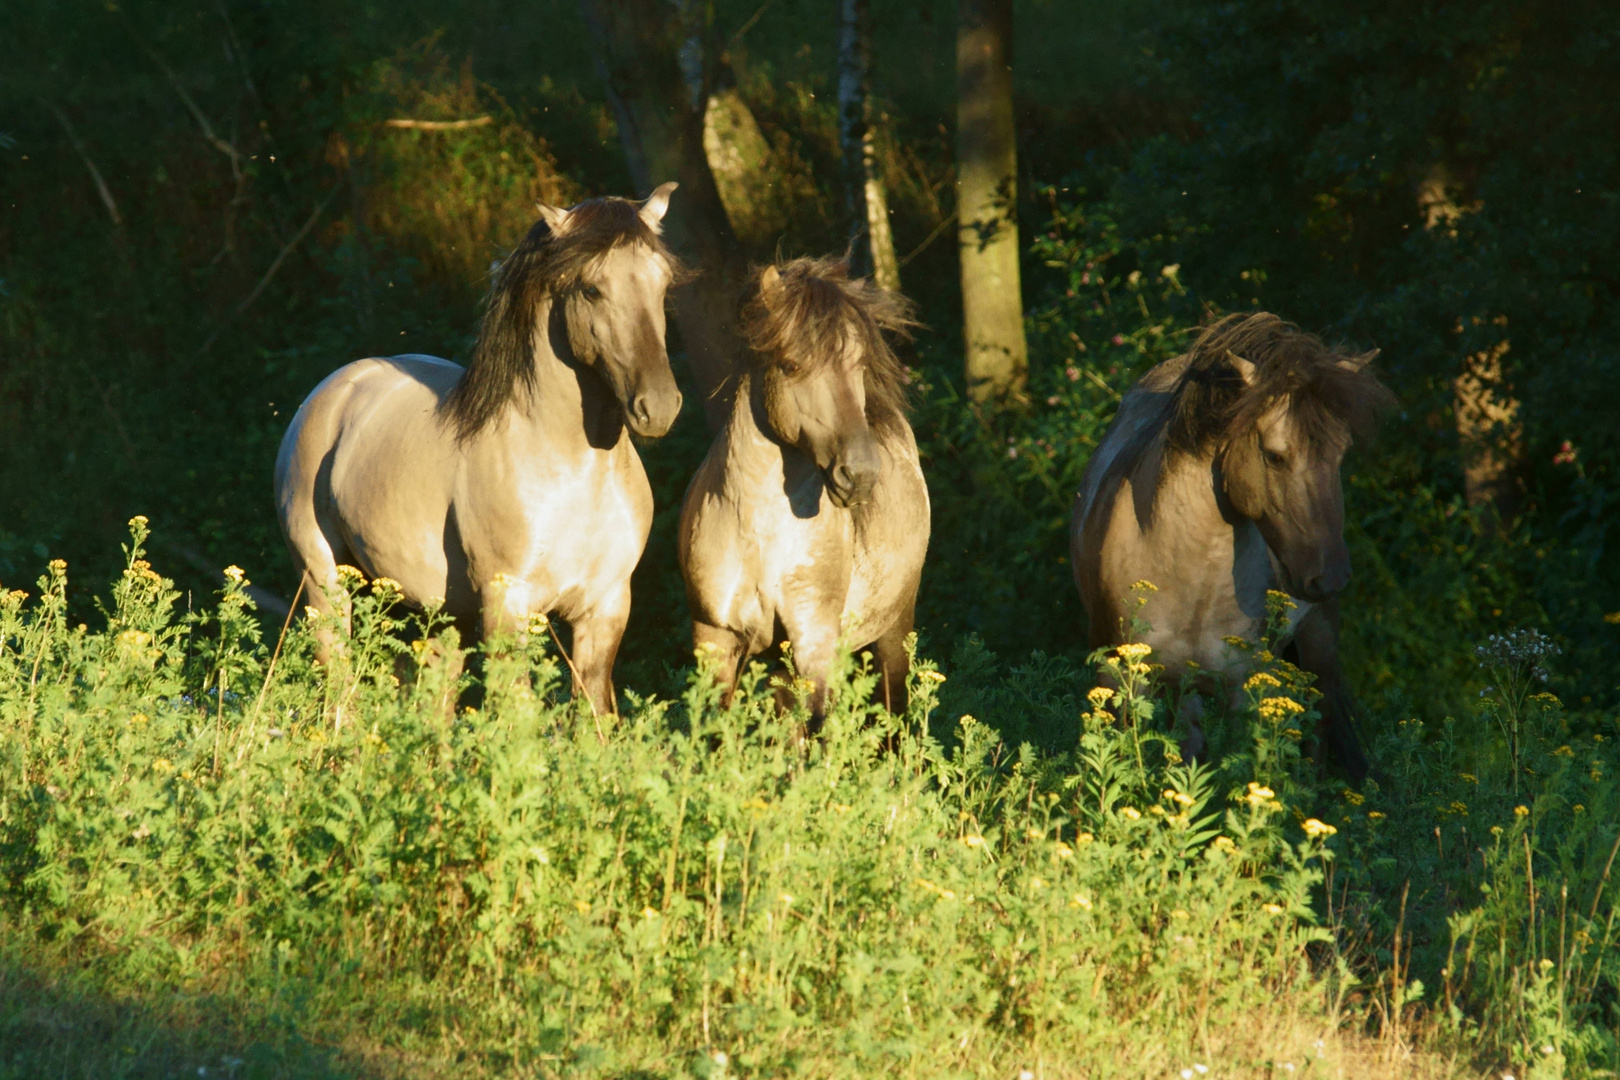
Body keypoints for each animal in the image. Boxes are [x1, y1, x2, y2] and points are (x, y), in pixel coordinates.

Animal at [677, 259, 933, 722]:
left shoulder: (813, 642)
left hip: (894, 629)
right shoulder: (714, 636)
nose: (860, 474)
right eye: (792, 366)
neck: (759, 535)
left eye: (859, 365)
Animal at [1069, 312, 1399, 777]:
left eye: (1341, 453)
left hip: (1318, 648)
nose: (1329, 576)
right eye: (1276, 456)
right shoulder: (1121, 678)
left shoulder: (1245, 689)